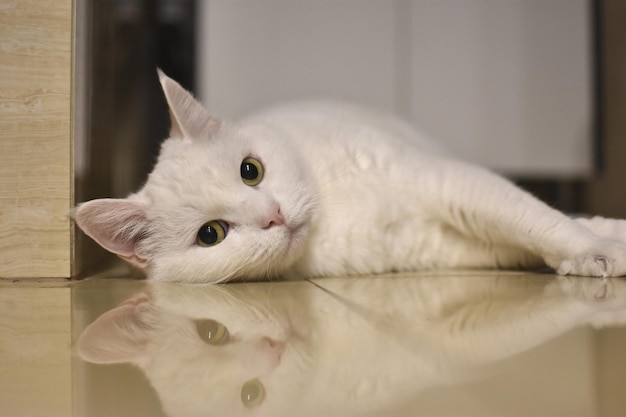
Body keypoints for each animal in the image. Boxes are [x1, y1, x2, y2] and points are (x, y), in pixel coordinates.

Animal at [74, 70, 626, 282]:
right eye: (211, 235)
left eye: (250, 171)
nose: (274, 215)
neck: (331, 215)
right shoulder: (450, 245)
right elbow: (524, 235)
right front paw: (590, 253)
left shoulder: (448, 182)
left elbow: (537, 219)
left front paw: (594, 248)